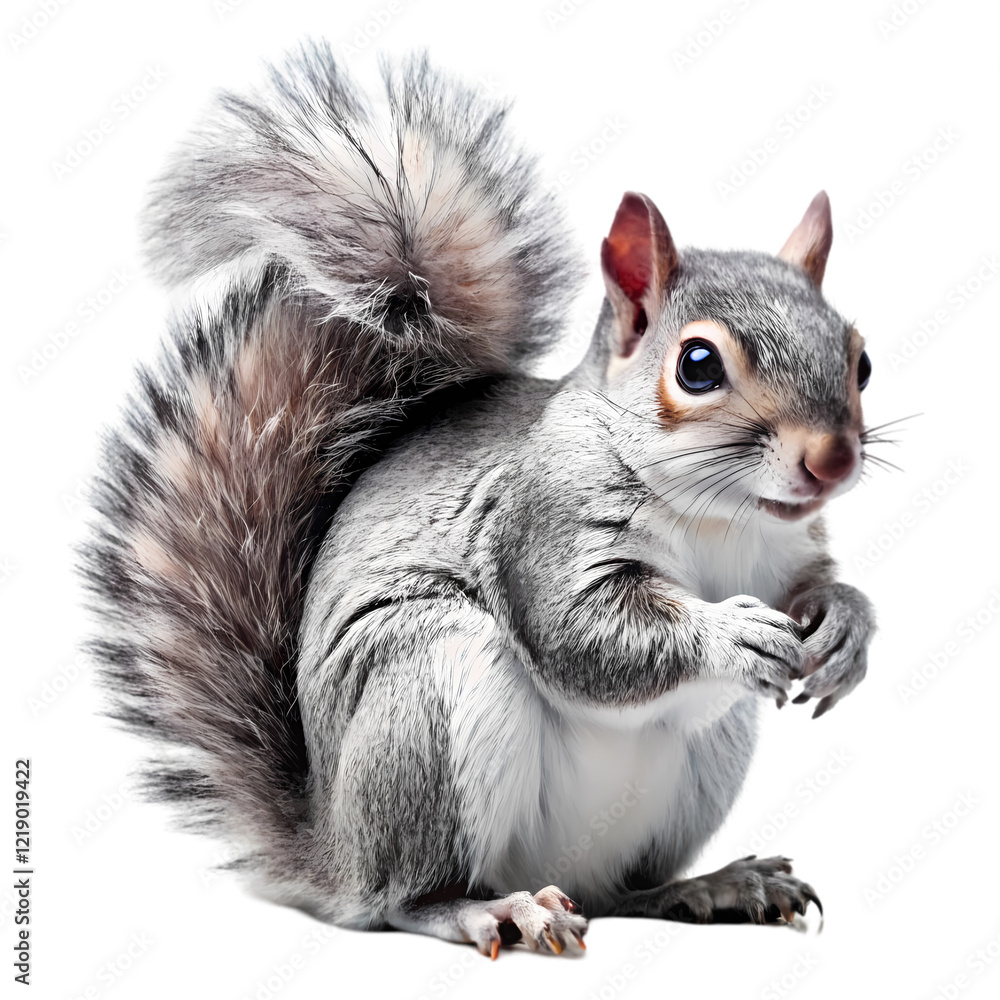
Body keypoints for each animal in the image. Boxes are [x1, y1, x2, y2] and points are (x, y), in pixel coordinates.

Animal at [82, 41, 879, 958]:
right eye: (698, 365)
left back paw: (711, 885)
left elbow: (814, 589)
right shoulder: (539, 517)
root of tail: (334, 850)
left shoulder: (788, 551)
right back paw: (490, 908)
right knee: (406, 897)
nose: (832, 460)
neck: (722, 516)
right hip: (429, 688)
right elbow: (584, 634)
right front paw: (730, 634)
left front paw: (848, 626)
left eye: (861, 360)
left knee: (623, 890)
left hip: (701, 761)